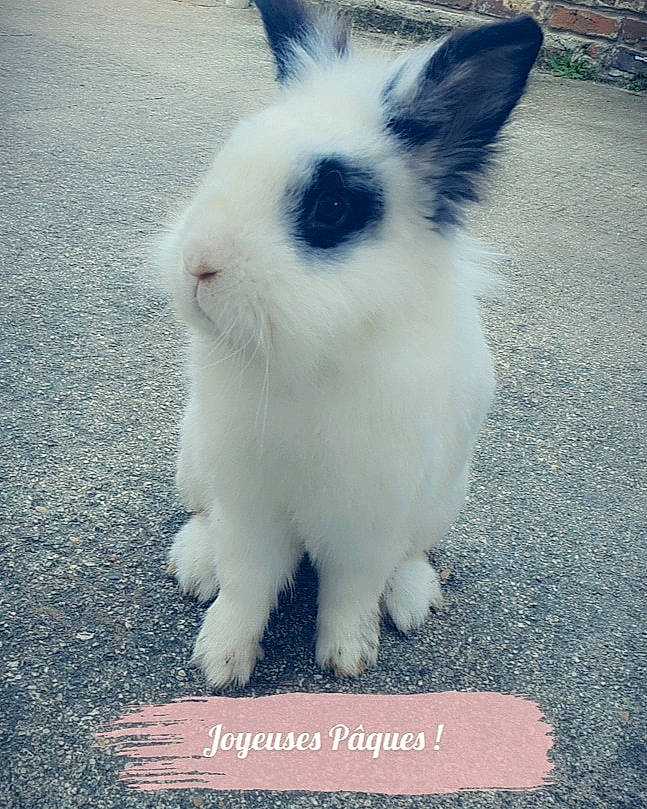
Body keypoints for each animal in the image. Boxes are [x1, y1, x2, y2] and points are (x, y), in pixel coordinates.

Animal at [158, 0, 543, 688]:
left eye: (333, 207)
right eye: (230, 154)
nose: (197, 264)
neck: (316, 353)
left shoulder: (372, 513)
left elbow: (353, 588)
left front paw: (348, 658)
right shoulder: (250, 500)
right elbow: (247, 582)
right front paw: (220, 662)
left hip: (441, 498)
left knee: (412, 555)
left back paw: (413, 600)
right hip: (196, 462)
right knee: (204, 520)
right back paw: (195, 565)